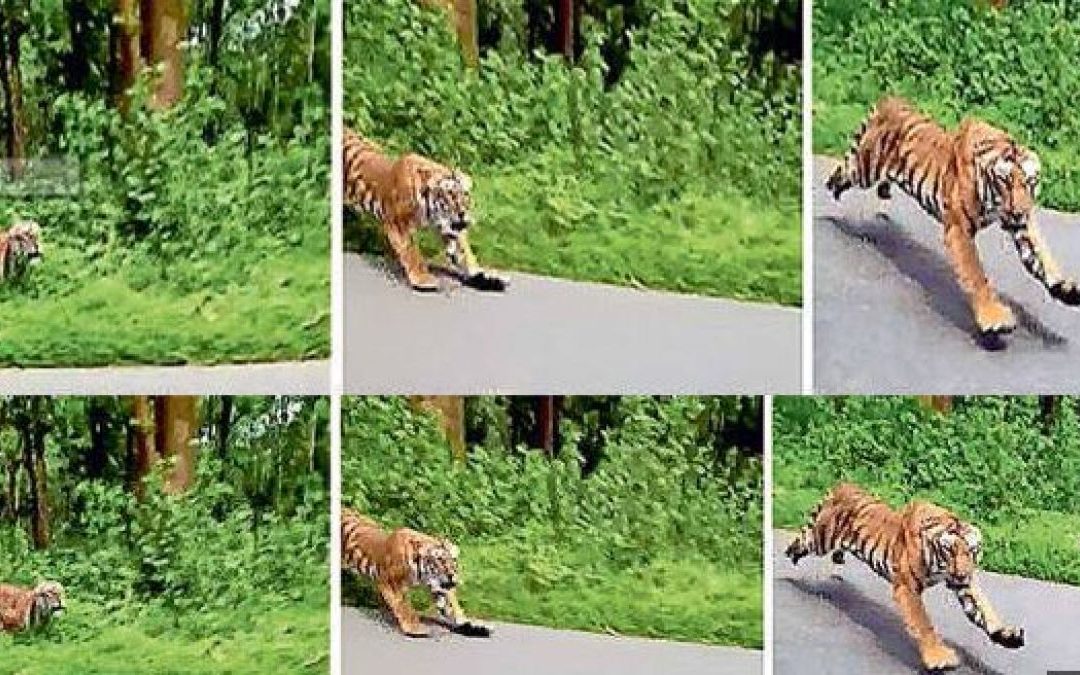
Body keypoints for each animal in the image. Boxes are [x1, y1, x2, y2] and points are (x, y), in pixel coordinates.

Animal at [339, 505, 492, 635]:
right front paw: (415, 628)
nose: (452, 576)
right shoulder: (391, 583)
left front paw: (474, 625)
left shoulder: (440, 587)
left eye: (454, 561)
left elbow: (452, 607)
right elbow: (404, 606)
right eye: (440, 560)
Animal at [345, 127, 509, 293]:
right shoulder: (399, 224)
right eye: (450, 195)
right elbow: (412, 252)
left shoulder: (452, 228)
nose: (463, 213)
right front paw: (423, 279)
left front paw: (487, 277)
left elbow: (465, 253)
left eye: (466, 195)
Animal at [786, 481, 1019, 669]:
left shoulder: (964, 585)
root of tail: (842, 485)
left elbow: (984, 610)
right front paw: (939, 657)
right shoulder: (908, 587)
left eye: (971, 551)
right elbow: (924, 622)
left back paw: (837, 561)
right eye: (949, 551)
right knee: (801, 541)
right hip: (819, 539)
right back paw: (789, 563)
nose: (962, 573)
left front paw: (1007, 635)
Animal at [820, 97, 1075, 339]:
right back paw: (830, 200)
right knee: (843, 171)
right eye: (1006, 182)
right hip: (864, 169)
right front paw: (994, 318)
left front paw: (1066, 289)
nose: (1020, 211)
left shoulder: (1021, 225)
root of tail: (889, 100)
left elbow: (1042, 256)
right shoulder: (959, 228)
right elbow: (976, 273)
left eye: (1030, 182)